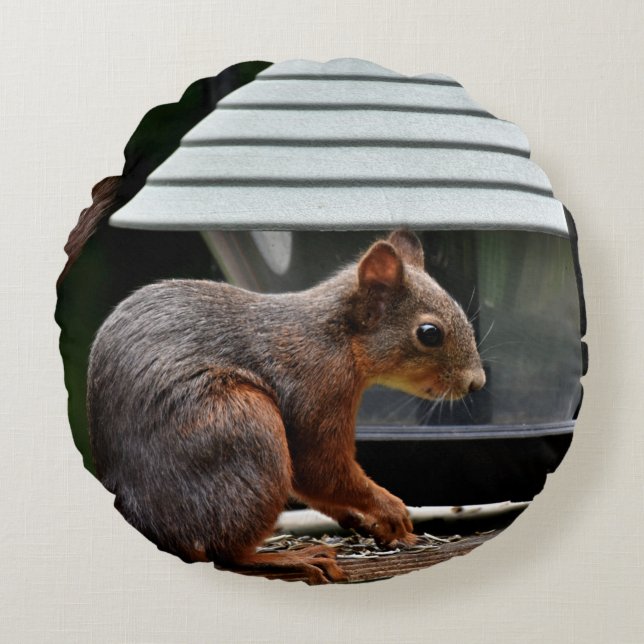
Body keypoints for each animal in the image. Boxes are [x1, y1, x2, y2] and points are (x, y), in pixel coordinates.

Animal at [87, 229, 485, 584]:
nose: (476, 382)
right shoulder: (316, 388)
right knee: (226, 554)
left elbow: (311, 484)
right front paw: (390, 507)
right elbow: (319, 468)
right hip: (243, 426)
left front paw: (366, 521)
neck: (338, 338)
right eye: (429, 333)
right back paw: (292, 557)